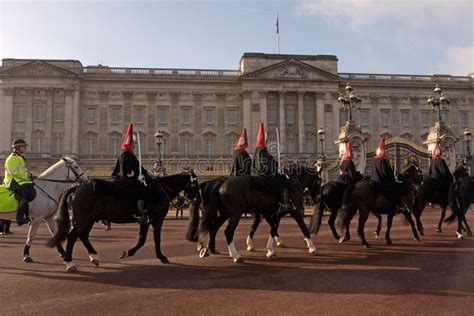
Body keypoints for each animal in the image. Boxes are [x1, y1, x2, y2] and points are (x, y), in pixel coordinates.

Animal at [46, 170, 198, 272]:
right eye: (195, 184)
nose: (196, 200)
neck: (160, 190)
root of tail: (78, 187)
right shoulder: (156, 219)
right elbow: (155, 239)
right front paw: (161, 256)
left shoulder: (145, 220)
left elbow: (142, 239)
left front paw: (127, 253)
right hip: (84, 218)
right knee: (72, 237)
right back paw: (69, 263)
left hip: (90, 218)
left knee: (83, 236)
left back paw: (94, 257)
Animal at [186, 172, 314, 262]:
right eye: (318, 180)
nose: (314, 198)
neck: (292, 183)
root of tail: (220, 183)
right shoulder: (295, 212)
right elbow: (303, 227)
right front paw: (312, 247)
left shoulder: (274, 214)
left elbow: (271, 229)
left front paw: (269, 250)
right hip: (235, 213)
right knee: (228, 232)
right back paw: (236, 256)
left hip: (224, 214)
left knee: (213, 228)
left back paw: (212, 249)